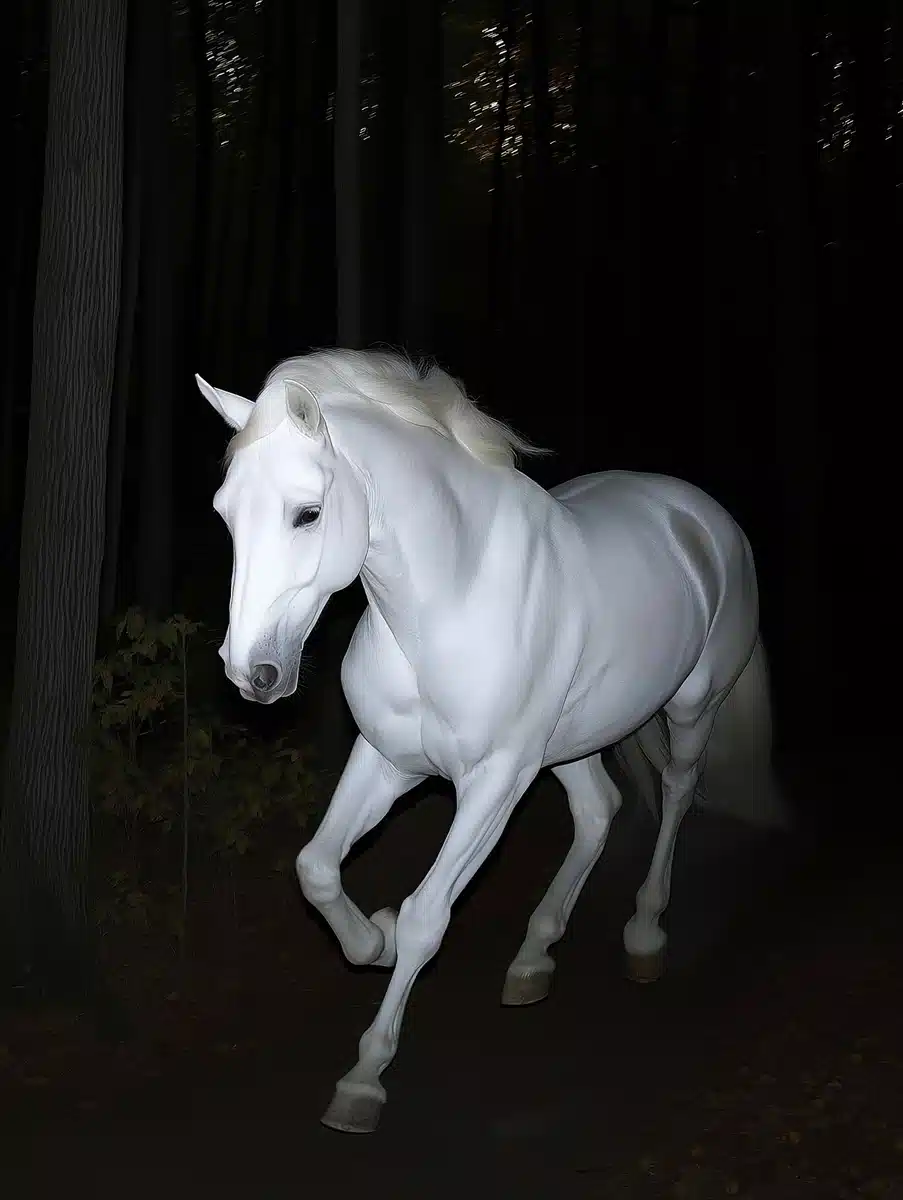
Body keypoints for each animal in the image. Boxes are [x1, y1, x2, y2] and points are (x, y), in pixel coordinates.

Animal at [196, 348, 789, 1134]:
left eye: (308, 513)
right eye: (224, 514)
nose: (250, 672)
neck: (448, 600)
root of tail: (703, 518)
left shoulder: (494, 783)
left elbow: (427, 916)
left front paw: (364, 1078)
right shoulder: (386, 762)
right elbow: (317, 867)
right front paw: (373, 939)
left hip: (691, 710)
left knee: (676, 795)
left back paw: (644, 934)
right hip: (568, 744)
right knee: (597, 811)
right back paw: (534, 956)